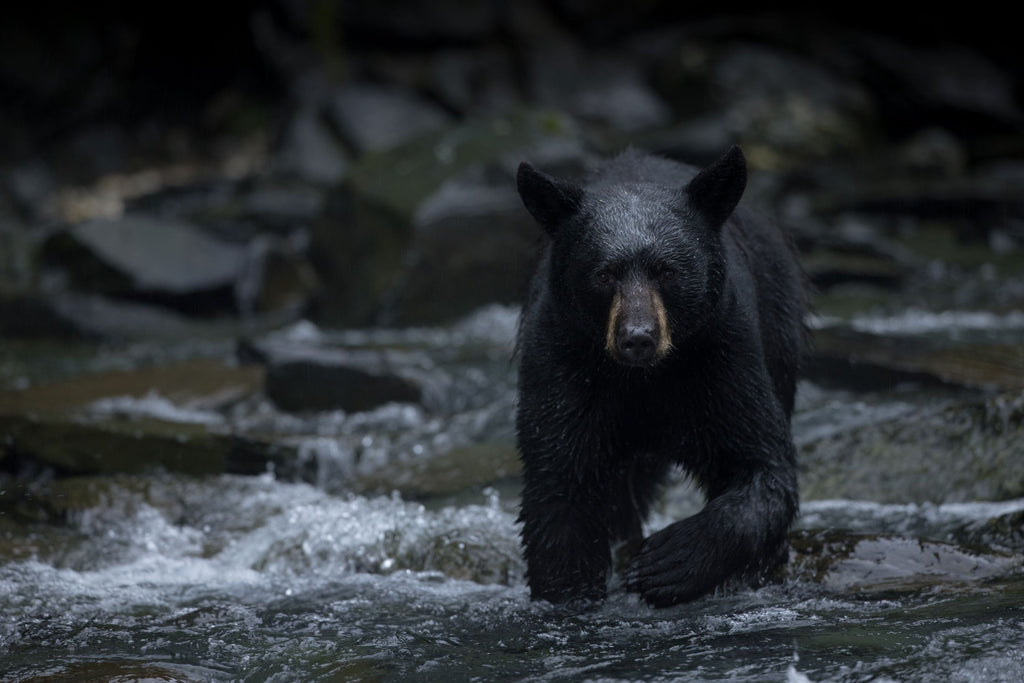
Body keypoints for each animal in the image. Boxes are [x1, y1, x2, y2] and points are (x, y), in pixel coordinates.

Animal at [512, 147, 806, 606]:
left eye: (667, 271)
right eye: (604, 274)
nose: (638, 338)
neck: (644, 379)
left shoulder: (722, 355)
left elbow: (762, 465)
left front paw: (668, 561)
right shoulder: (561, 361)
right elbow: (561, 484)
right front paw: (570, 593)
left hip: (778, 328)